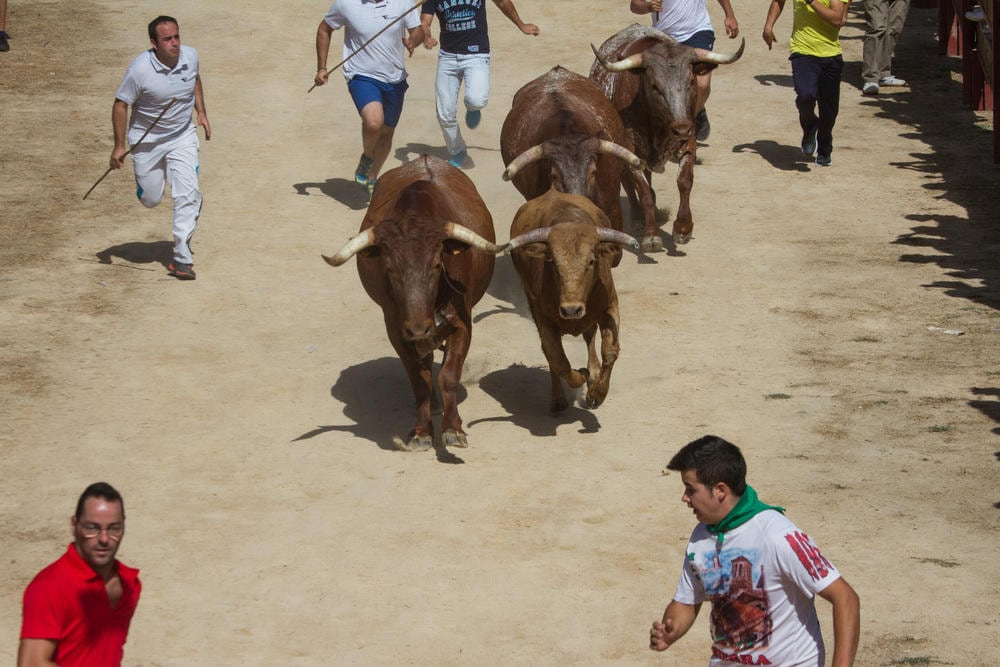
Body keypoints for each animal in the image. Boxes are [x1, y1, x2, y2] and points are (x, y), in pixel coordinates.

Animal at [322, 155, 500, 454]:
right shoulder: (396, 328)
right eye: (389, 268)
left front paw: (453, 430)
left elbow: (449, 375)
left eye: (437, 264)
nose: (419, 329)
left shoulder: (462, 322)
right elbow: (420, 380)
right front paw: (421, 432)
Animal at [508, 188, 640, 412]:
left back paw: (593, 372)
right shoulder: (544, 320)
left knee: (589, 334)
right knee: (552, 355)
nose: (571, 310)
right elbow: (559, 361)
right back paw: (559, 399)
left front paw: (597, 393)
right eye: (552, 262)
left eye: (592, 261)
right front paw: (581, 377)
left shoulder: (610, 305)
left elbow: (610, 351)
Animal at [588, 25, 748, 248]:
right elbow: (642, 190)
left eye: (691, 81)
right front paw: (651, 234)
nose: (681, 128)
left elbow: (684, 181)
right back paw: (638, 217)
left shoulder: (688, 145)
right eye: (655, 85)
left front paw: (682, 228)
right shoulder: (631, 152)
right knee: (628, 183)